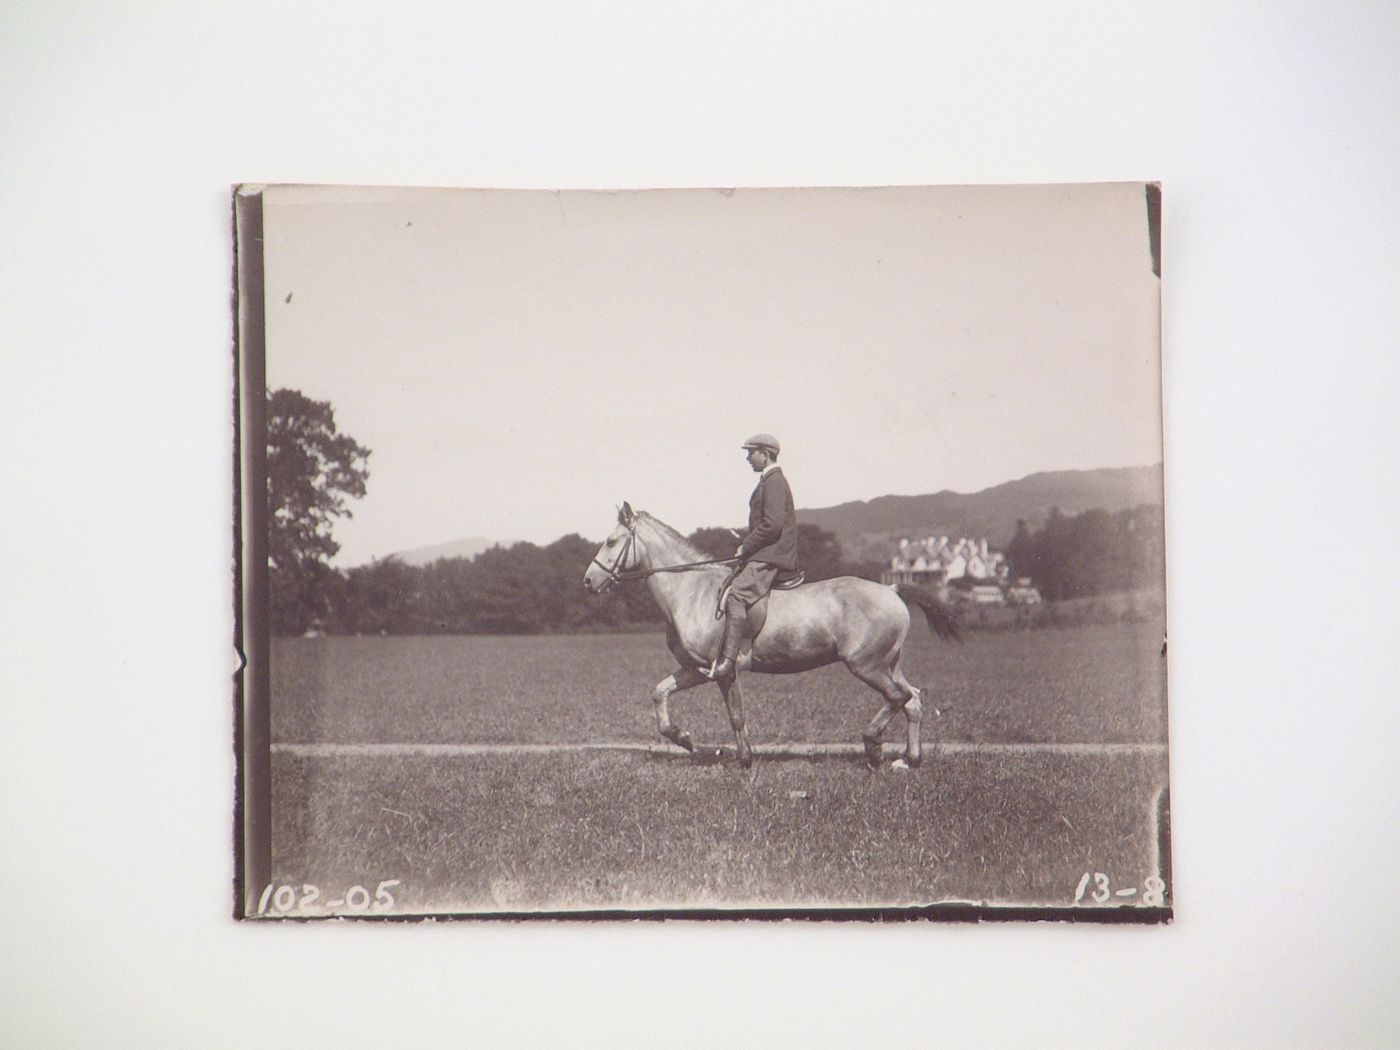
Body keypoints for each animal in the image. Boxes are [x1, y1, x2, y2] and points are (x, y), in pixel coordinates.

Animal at [579, 506, 963, 767]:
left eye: (611, 541)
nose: (588, 582)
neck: (691, 591)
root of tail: (892, 589)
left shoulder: (725, 671)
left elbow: (736, 715)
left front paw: (745, 759)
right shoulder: (695, 670)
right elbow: (660, 695)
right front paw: (691, 742)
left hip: (867, 665)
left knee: (899, 697)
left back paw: (873, 745)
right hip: (887, 664)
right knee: (913, 699)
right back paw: (910, 759)